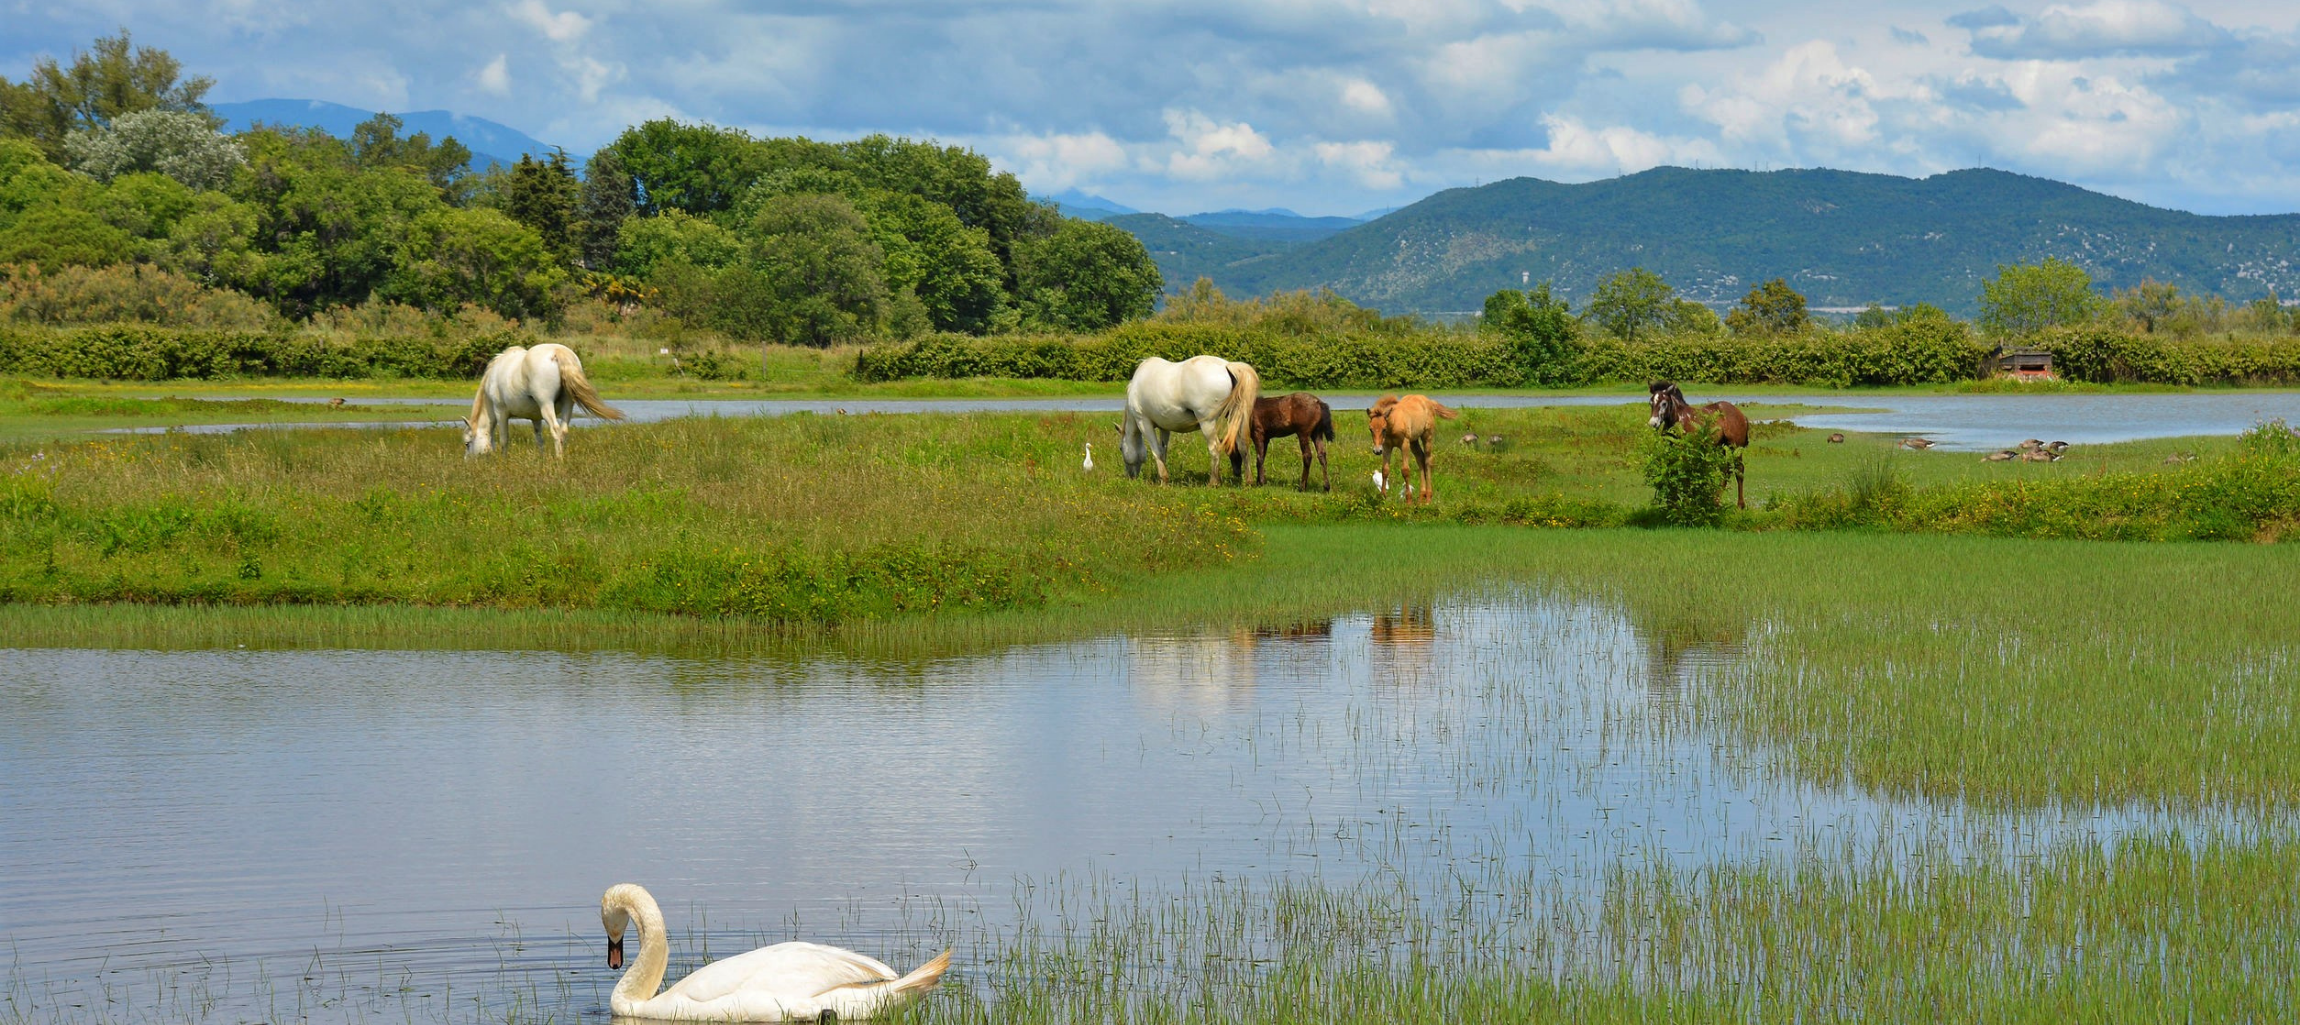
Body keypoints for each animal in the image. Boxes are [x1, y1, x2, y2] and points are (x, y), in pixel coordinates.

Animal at [462, 342, 625, 457]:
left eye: (467, 443)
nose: (468, 462)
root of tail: (557, 352)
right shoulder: (536, 418)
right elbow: (539, 439)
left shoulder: (500, 412)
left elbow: (503, 439)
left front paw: (504, 461)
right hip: (568, 405)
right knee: (563, 431)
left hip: (546, 405)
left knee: (556, 430)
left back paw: (559, 460)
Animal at [1117, 356, 1260, 484]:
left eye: (1121, 448)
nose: (1131, 476)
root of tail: (1227, 366)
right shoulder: (1165, 428)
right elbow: (1163, 451)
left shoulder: (1143, 422)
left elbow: (1156, 451)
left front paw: (1163, 479)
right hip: (1237, 417)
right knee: (1243, 445)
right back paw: (1248, 481)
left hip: (1207, 423)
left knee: (1214, 448)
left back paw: (1213, 482)